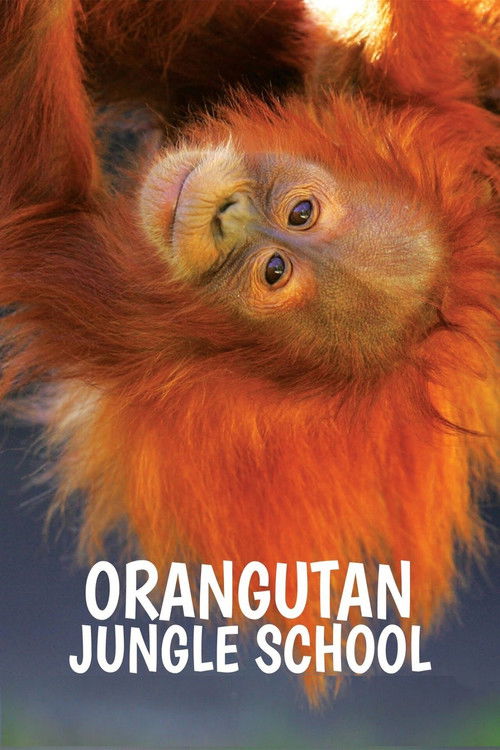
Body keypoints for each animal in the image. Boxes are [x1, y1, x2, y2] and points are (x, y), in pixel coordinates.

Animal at [0, 0, 497, 703]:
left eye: (273, 272)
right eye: (302, 212)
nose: (228, 215)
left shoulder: (126, 324)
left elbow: (42, 203)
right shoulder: (396, 99)